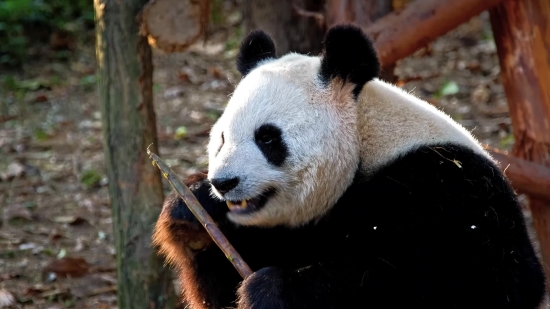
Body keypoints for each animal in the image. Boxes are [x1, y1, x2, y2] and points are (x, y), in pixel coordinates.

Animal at [153, 24, 548, 308]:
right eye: (222, 137)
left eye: (267, 138)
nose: (224, 182)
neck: (364, 141)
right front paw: (192, 215)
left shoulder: (449, 190)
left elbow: (478, 280)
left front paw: (274, 289)